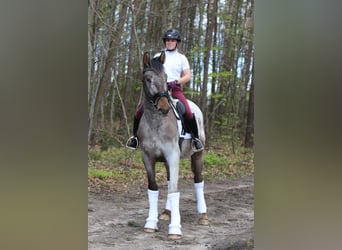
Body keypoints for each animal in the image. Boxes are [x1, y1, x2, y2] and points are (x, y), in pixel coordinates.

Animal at [137, 50, 208, 240]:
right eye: (147, 79)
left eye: (166, 77)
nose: (163, 107)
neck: (156, 122)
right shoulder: (147, 157)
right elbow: (153, 188)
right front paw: (151, 223)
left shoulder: (173, 156)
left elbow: (174, 191)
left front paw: (175, 228)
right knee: (170, 181)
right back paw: (166, 213)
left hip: (198, 154)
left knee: (198, 180)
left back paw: (203, 216)